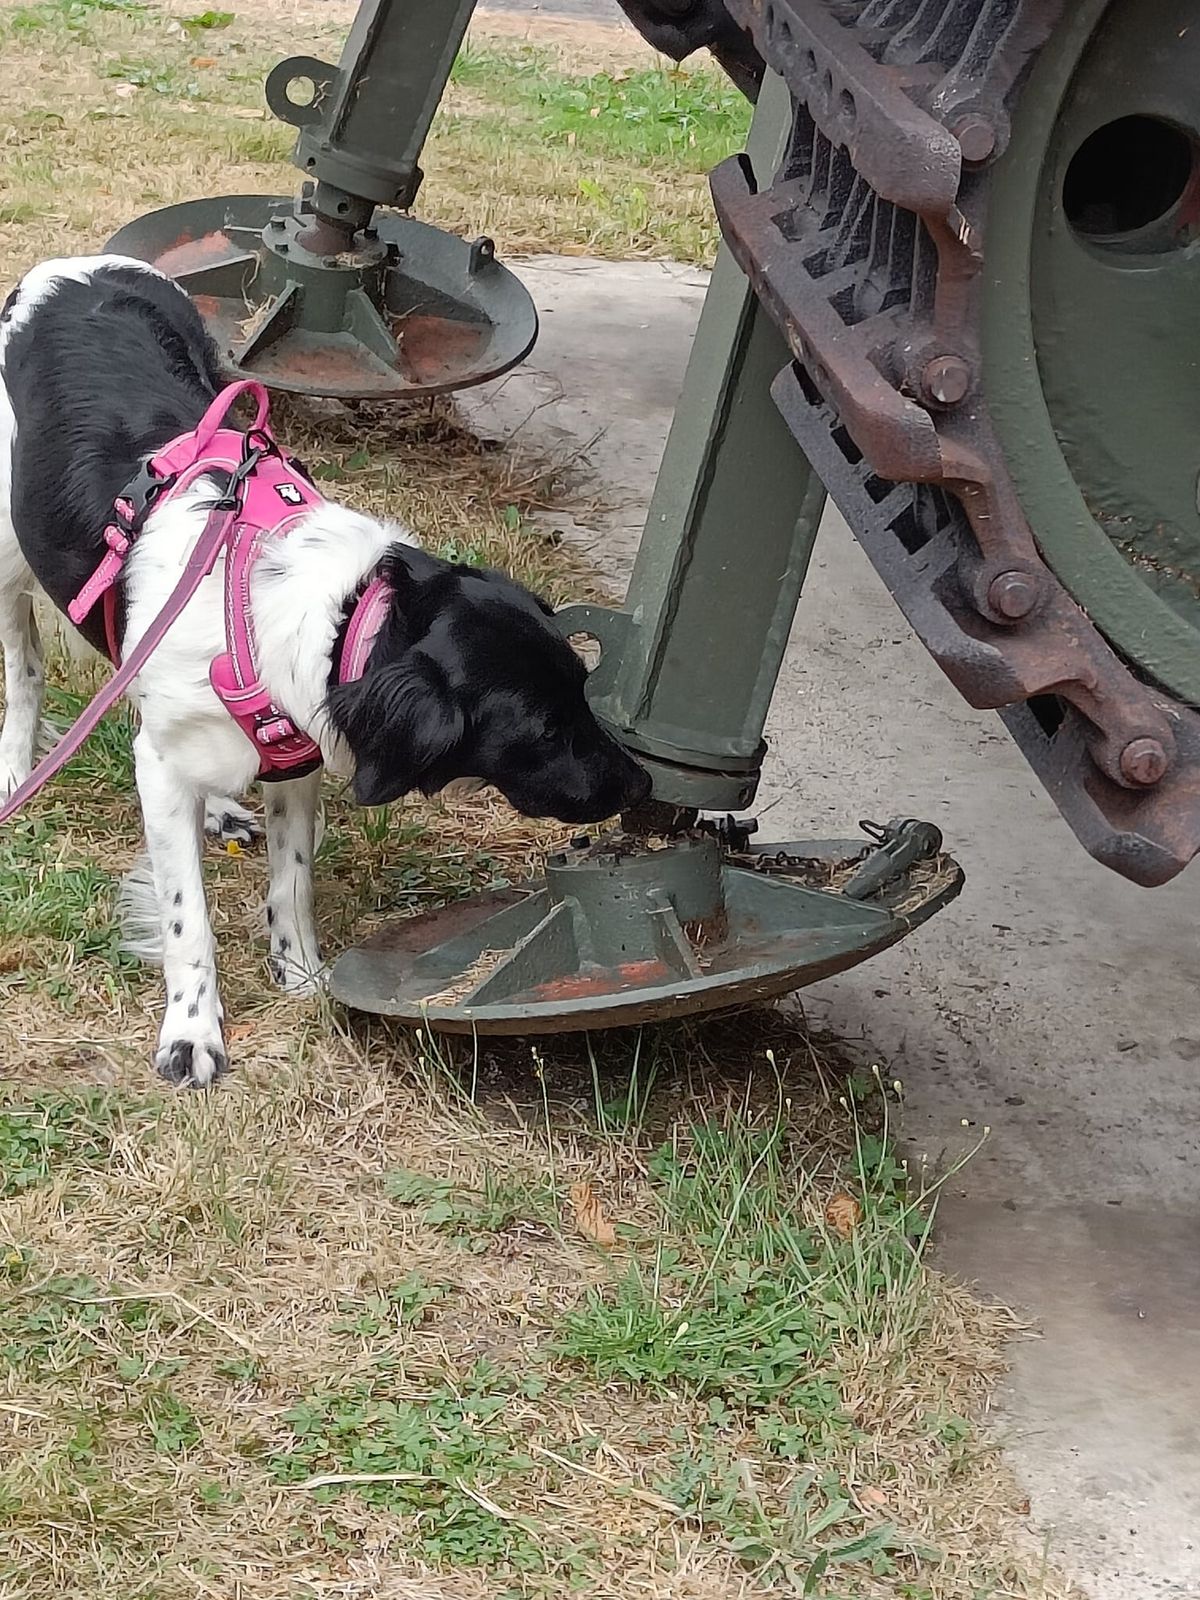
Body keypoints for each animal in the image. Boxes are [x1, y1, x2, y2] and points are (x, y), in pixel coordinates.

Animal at [0, 256, 649, 1088]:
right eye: (540, 728)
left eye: (583, 691)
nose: (641, 785)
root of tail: (68, 267)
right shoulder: (183, 759)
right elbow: (187, 918)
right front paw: (192, 1031)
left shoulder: (294, 755)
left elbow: (293, 878)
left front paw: (301, 974)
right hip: (10, 554)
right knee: (25, 666)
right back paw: (19, 769)